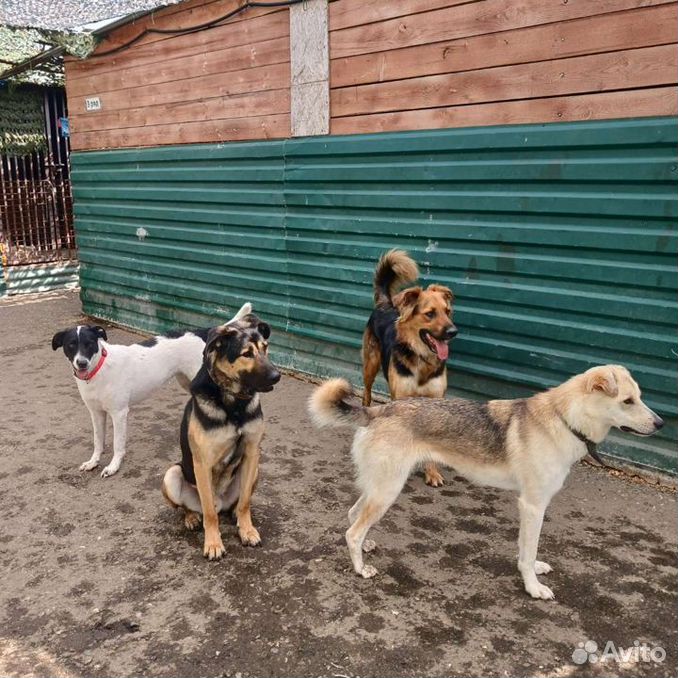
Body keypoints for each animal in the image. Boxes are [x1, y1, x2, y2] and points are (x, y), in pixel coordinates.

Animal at [51, 302, 252, 478]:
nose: (82, 363)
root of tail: (202, 332)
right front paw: (93, 462)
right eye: (71, 345)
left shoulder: (119, 413)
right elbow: (98, 440)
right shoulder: (96, 413)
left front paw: (113, 466)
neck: (99, 369)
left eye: (90, 343)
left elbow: (117, 444)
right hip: (187, 382)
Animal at [162, 310, 282, 560]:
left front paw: (246, 530)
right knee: (193, 508)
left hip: (255, 471)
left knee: (237, 503)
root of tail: (222, 503)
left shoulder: (252, 452)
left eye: (265, 348)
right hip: (172, 474)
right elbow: (209, 514)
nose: (277, 376)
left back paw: (234, 514)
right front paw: (213, 543)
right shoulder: (202, 463)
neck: (234, 404)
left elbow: (245, 502)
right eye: (247, 353)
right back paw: (191, 517)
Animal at [310, 366, 668, 600]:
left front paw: (533, 572)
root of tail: (377, 412)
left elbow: (525, 550)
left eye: (640, 397)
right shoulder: (533, 505)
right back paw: (361, 568)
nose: (661, 424)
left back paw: (367, 545)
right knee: (352, 531)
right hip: (388, 489)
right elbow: (528, 551)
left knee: (353, 516)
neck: (564, 420)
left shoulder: (529, 507)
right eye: (627, 401)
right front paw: (533, 588)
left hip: (380, 486)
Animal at [364, 250, 460, 488]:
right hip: (370, 366)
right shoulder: (400, 397)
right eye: (430, 314)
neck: (422, 359)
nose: (453, 332)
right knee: (366, 394)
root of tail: (386, 304)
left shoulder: (436, 398)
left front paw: (432, 472)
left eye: (448, 311)